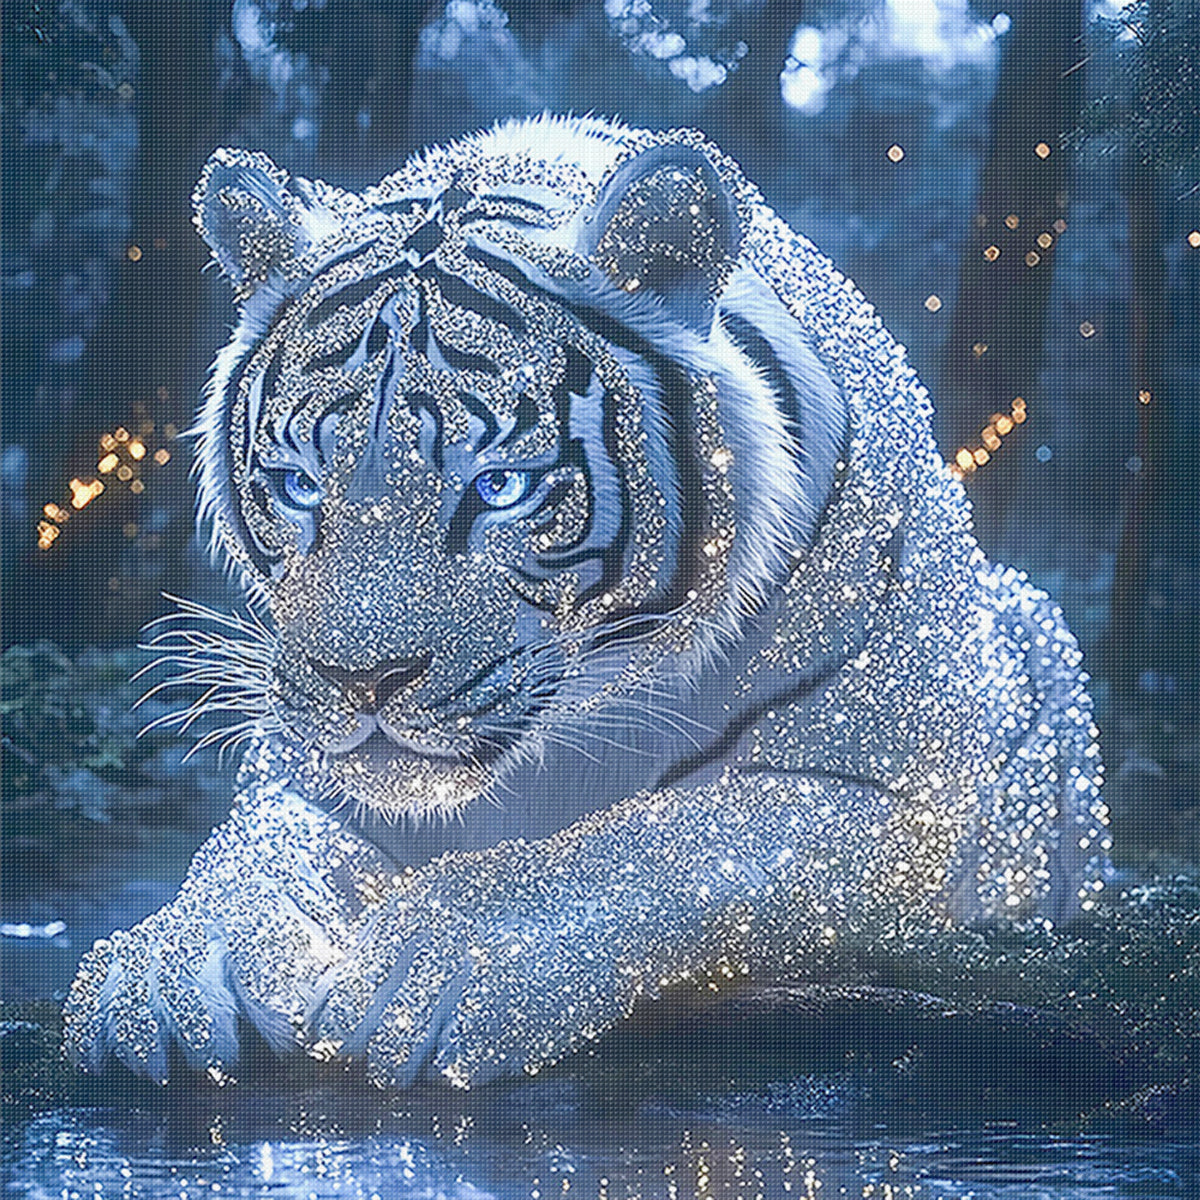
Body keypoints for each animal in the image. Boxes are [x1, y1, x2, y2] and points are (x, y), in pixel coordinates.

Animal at [63, 115, 1111, 1089]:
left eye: (499, 488)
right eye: (297, 484)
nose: (360, 682)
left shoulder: (898, 797)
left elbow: (666, 842)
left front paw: (435, 964)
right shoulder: (303, 776)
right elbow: (249, 860)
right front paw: (161, 972)